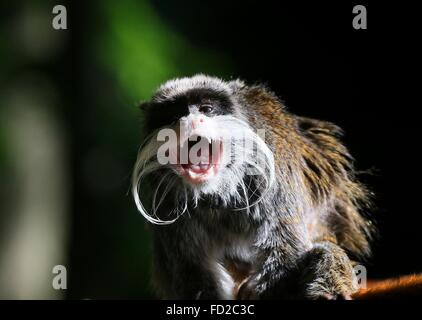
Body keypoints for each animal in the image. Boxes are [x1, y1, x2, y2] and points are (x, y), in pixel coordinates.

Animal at [133, 75, 372, 300]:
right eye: (175, 115)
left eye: (206, 110)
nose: (189, 121)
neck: (218, 191)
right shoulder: (168, 205)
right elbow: (193, 271)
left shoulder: (274, 172)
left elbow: (285, 246)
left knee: (325, 251)